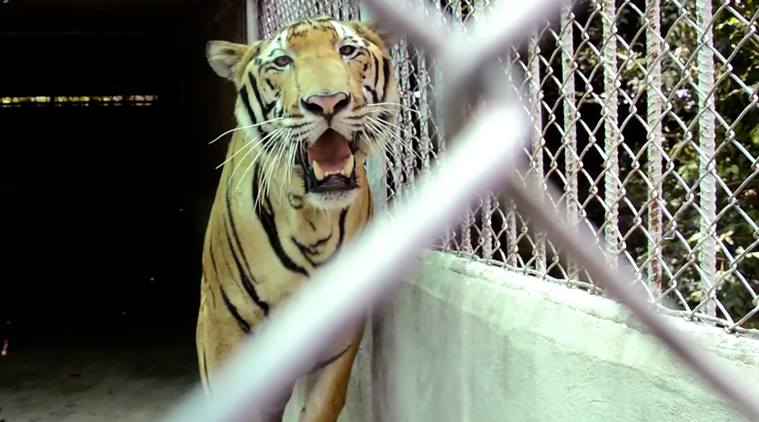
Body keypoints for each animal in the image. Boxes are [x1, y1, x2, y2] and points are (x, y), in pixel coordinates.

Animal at [197, 16, 399, 422]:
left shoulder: (337, 340)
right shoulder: (224, 329)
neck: (311, 220)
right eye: (282, 62)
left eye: (347, 50)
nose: (327, 102)